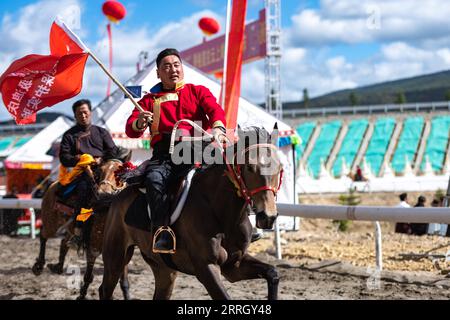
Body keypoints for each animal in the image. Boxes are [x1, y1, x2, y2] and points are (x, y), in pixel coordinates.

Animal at [30, 159, 130, 298]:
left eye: (118, 174)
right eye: (99, 171)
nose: (103, 193)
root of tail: (53, 184)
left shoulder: (122, 254)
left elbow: (123, 281)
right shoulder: (93, 248)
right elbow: (88, 276)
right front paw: (81, 295)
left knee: (64, 242)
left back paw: (58, 267)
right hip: (51, 223)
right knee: (43, 235)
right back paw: (39, 266)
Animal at [99, 127, 282, 300]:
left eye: (280, 168)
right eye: (250, 167)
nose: (268, 217)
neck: (222, 213)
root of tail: (117, 196)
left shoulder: (234, 265)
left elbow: (273, 273)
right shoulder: (206, 268)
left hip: (165, 271)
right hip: (115, 259)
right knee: (105, 289)